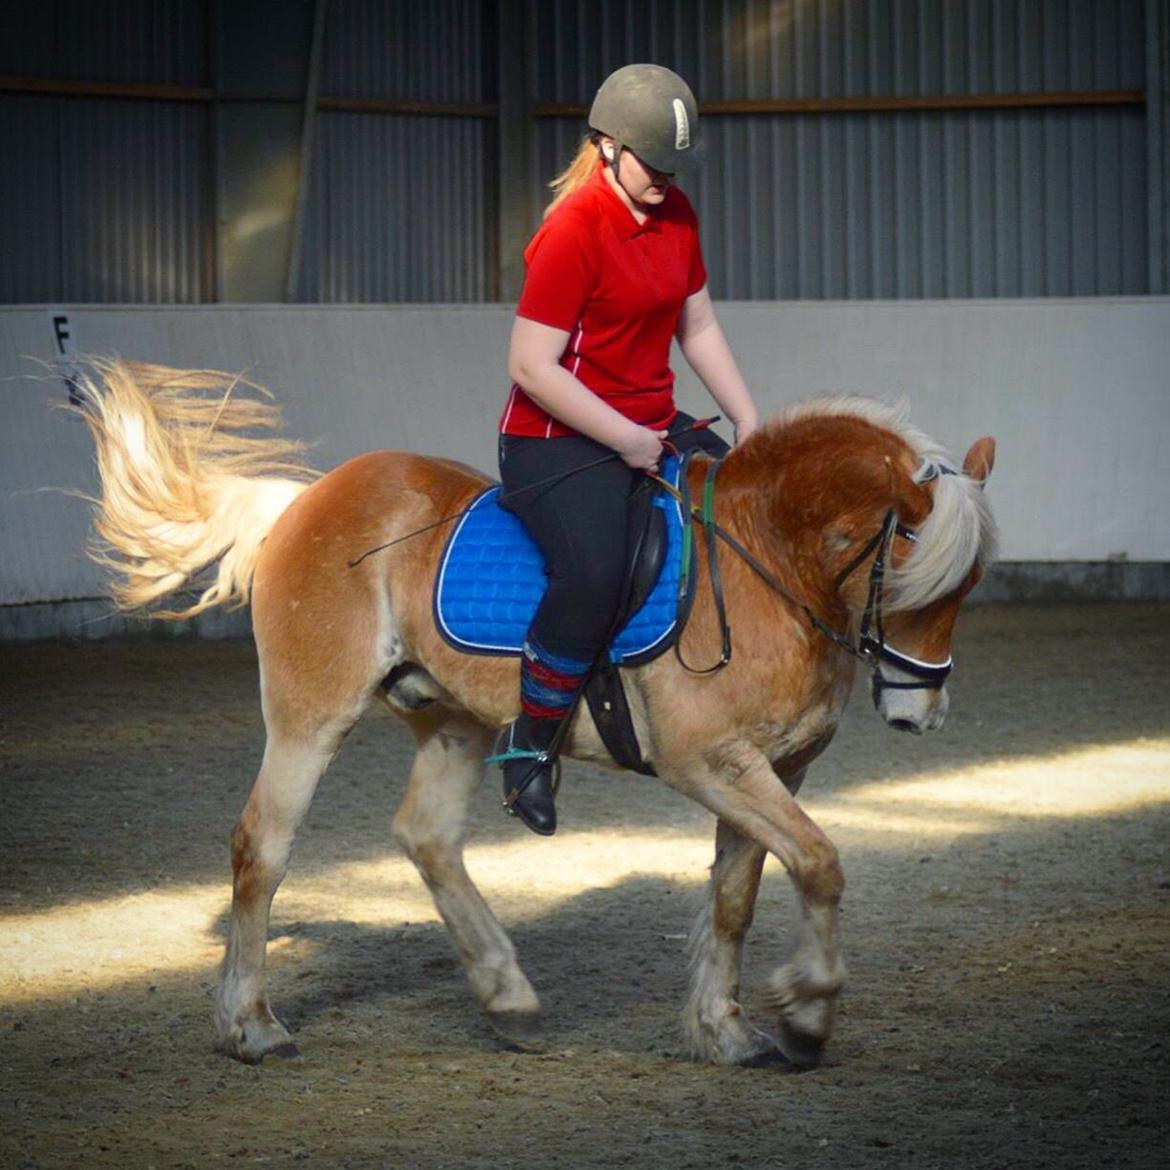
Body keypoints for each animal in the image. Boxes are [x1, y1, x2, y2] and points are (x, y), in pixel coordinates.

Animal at [75, 355, 996, 1071]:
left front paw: (726, 1031)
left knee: (426, 837)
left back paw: (506, 996)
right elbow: (821, 863)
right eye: (914, 583)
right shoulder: (713, 763)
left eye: (970, 588)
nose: (919, 715)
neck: (764, 554)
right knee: (261, 847)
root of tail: (307, 500)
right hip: (310, 716)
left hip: (455, 718)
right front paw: (805, 1015)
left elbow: (742, 894)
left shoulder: (775, 769)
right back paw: (251, 1026)